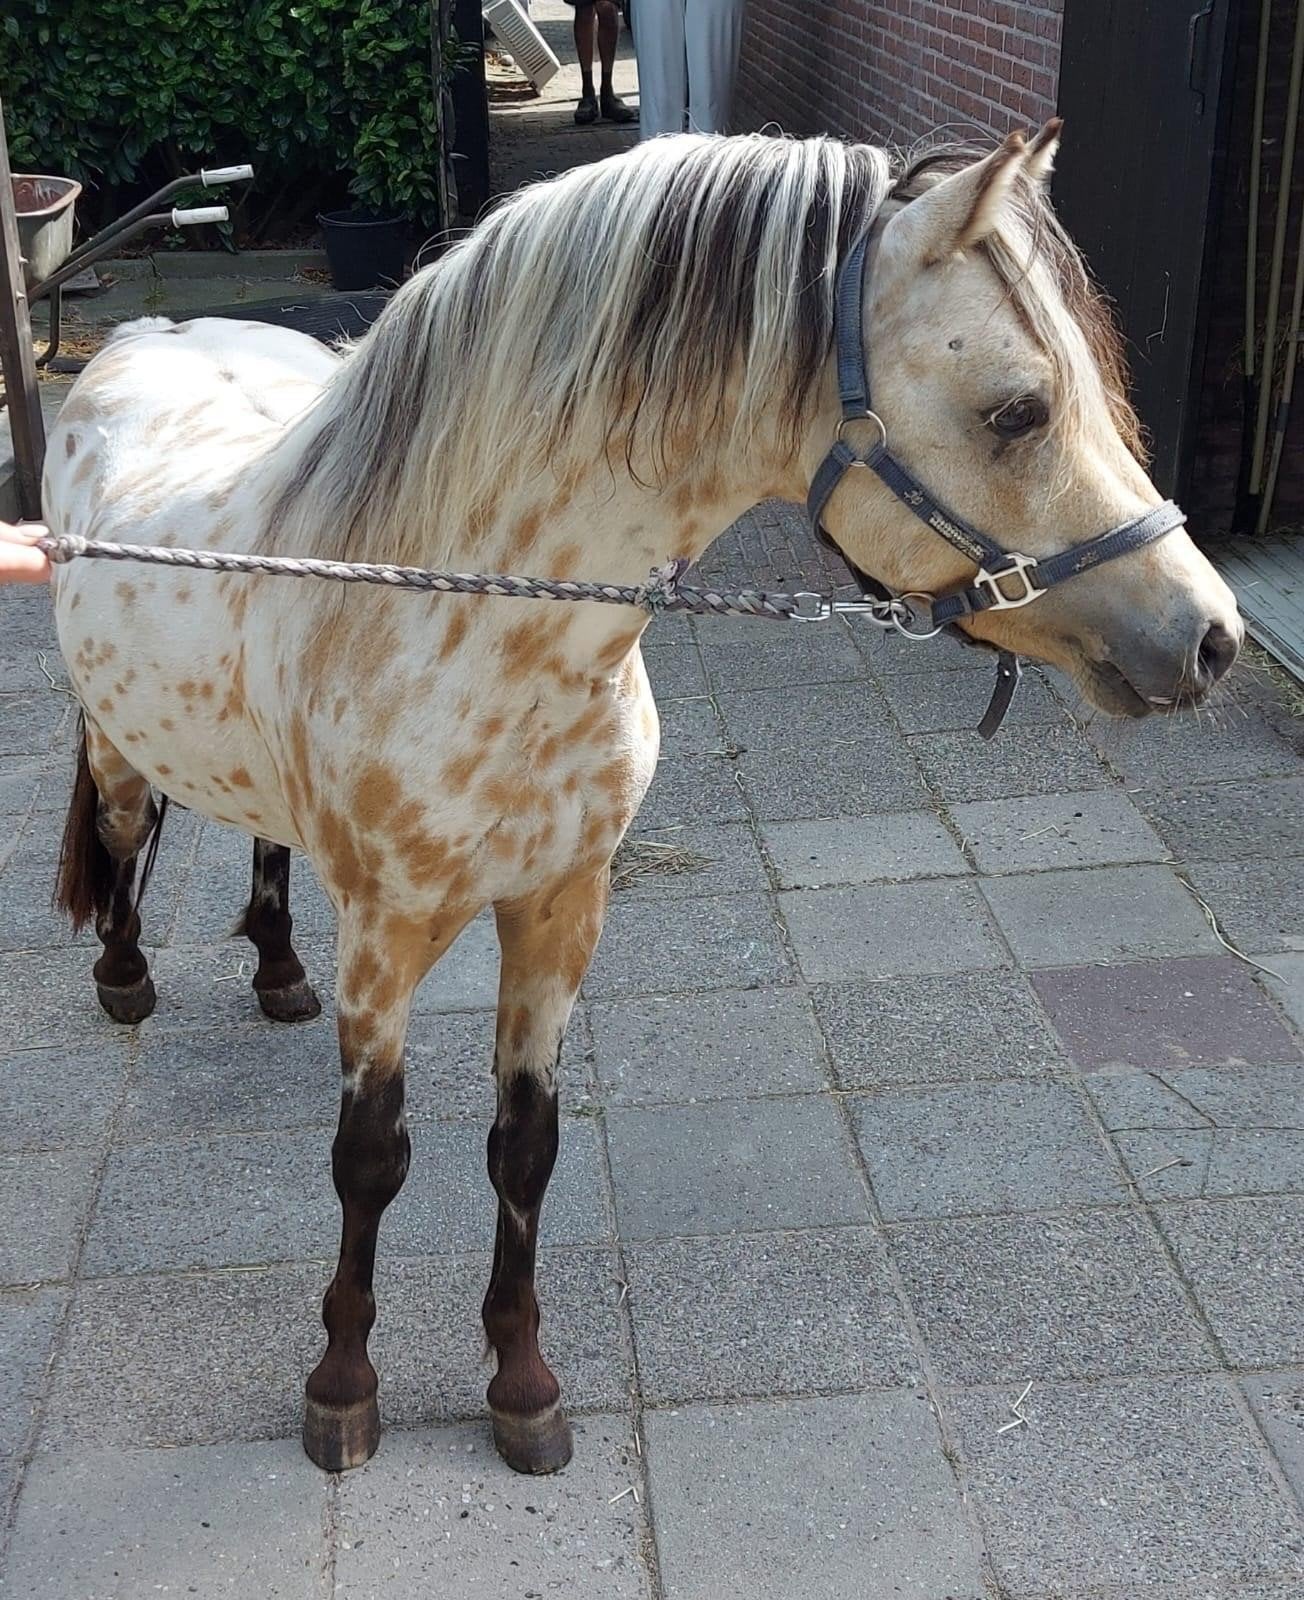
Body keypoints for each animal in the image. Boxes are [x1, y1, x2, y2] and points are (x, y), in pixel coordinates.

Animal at [44, 124, 1242, 1476]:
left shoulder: (563, 907)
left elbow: (525, 1147)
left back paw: (277, 971)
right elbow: (370, 1158)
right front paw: (342, 1390)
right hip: (120, 740)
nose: (1208, 638)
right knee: (123, 828)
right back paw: (127, 976)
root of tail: (142, 337)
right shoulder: (389, 931)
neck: (475, 620)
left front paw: (522, 1388)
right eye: (1018, 408)